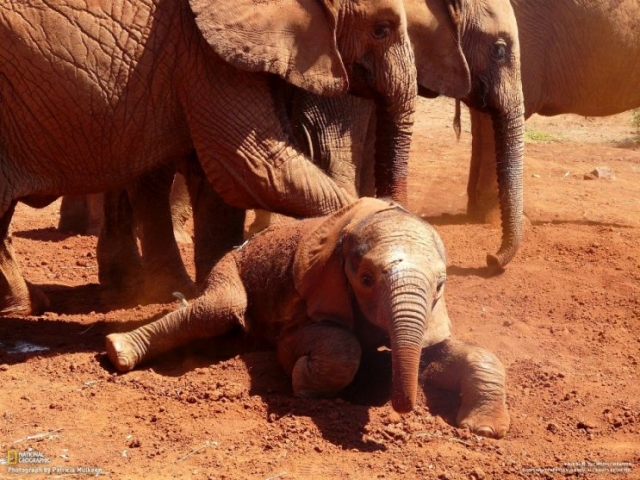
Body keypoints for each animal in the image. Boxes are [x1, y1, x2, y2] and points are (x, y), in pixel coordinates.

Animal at [0, 0, 418, 316]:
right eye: (382, 29)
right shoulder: (205, 53)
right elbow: (256, 167)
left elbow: (221, 179)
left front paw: (215, 284)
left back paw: (31, 303)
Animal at [109, 198, 510, 438]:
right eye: (366, 279)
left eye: (440, 285)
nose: (403, 408)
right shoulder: (309, 298)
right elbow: (326, 344)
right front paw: (304, 384)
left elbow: (453, 353)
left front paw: (485, 430)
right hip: (231, 265)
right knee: (217, 308)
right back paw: (118, 351)